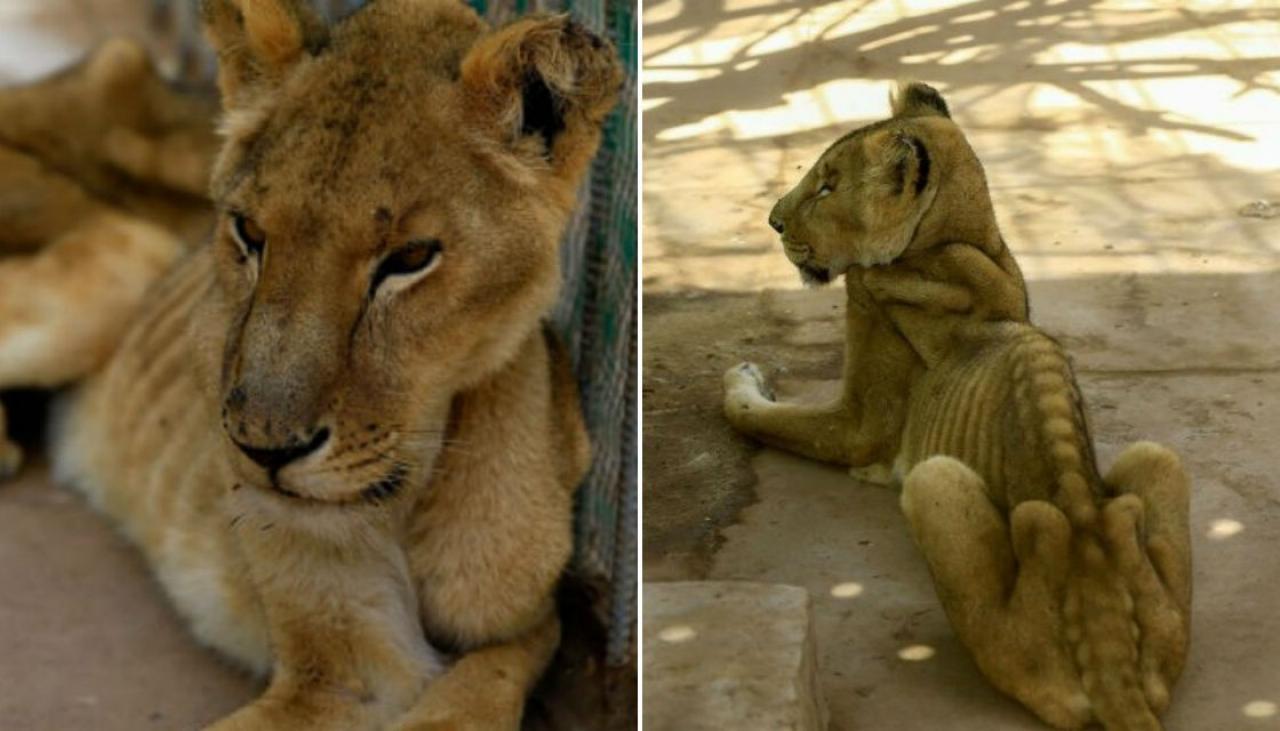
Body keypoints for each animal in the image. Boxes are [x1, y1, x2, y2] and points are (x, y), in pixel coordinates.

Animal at [0, 2, 619, 727]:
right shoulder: (335, 678)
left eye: (410, 259)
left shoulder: (524, 622)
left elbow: (481, 684)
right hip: (125, 256)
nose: (263, 451)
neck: (415, 497)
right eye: (248, 231)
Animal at [727, 83, 1192, 727]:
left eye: (827, 186)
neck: (960, 241)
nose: (771, 221)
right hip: (1158, 464)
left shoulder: (859, 420)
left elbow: (760, 416)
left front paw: (739, 376)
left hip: (934, 483)